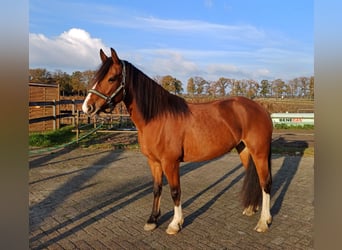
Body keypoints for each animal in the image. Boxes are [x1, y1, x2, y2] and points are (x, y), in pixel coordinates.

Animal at [82, 48, 272, 234]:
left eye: (111, 78)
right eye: (95, 78)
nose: (87, 107)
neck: (157, 118)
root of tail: (261, 108)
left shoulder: (170, 162)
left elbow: (175, 191)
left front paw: (175, 224)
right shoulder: (154, 162)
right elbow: (156, 189)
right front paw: (152, 220)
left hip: (260, 153)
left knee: (265, 182)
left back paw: (263, 222)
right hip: (244, 150)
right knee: (255, 178)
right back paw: (251, 209)